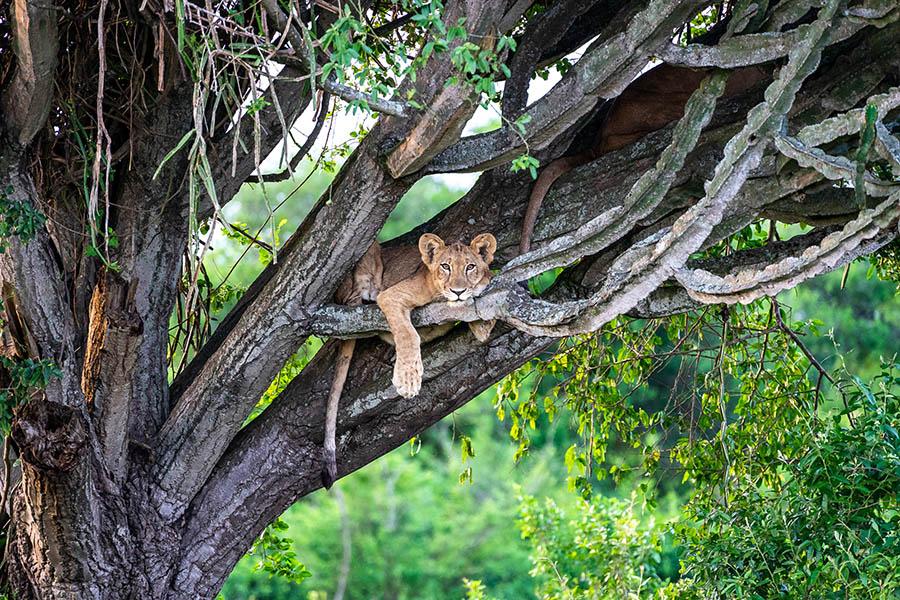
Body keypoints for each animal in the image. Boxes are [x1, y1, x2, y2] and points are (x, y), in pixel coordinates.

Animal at [322, 232, 497, 488]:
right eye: (445, 266)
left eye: (470, 267)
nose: (458, 291)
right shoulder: (392, 296)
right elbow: (407, 333)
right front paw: (408, 380)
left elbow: (483, 323)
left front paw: (482, 289)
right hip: (368, 254)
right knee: (352, 301)